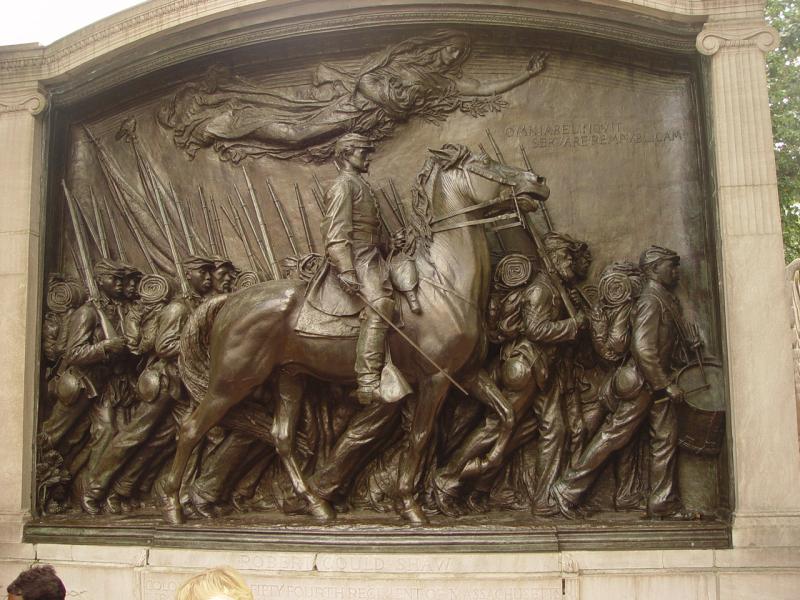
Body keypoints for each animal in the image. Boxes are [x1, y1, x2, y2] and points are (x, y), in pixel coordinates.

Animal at [159, 143, 552, 524]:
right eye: (485, 162)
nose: (538, 181)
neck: (443, 282)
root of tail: (231, 300)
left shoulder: (468, 373)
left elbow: (506, 415)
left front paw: (476, 467)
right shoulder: (435, 379)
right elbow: (419, 437)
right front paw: (409, 503)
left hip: (289, 377)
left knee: (281, 437)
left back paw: (316, 504)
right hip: (232, 380)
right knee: (191, 429)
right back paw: (174, 505)